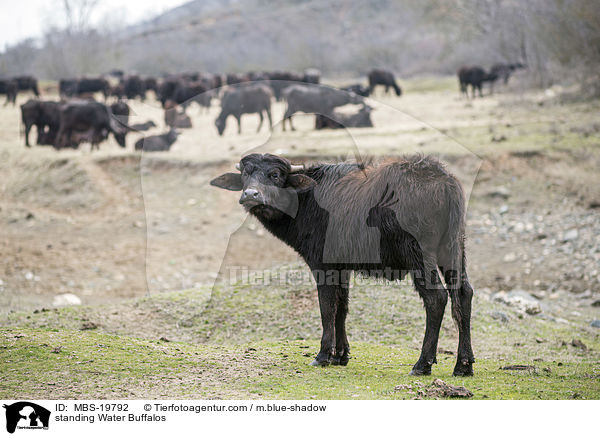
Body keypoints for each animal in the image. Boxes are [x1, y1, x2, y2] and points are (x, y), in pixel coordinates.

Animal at [213, 154, 476, 378]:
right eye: (246, 173)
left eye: (275, 174)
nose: (251, 194)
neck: (307, 199)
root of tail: (444, 181)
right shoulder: (342, 267)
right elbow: (342, 306)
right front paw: (340, 355)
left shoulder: (321, 265)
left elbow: (327, 307)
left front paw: (323, 355)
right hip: (454, 249)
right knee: (464, 294)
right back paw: (463, 365)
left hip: (420, 255)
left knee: (436, 298)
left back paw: (422, 364)